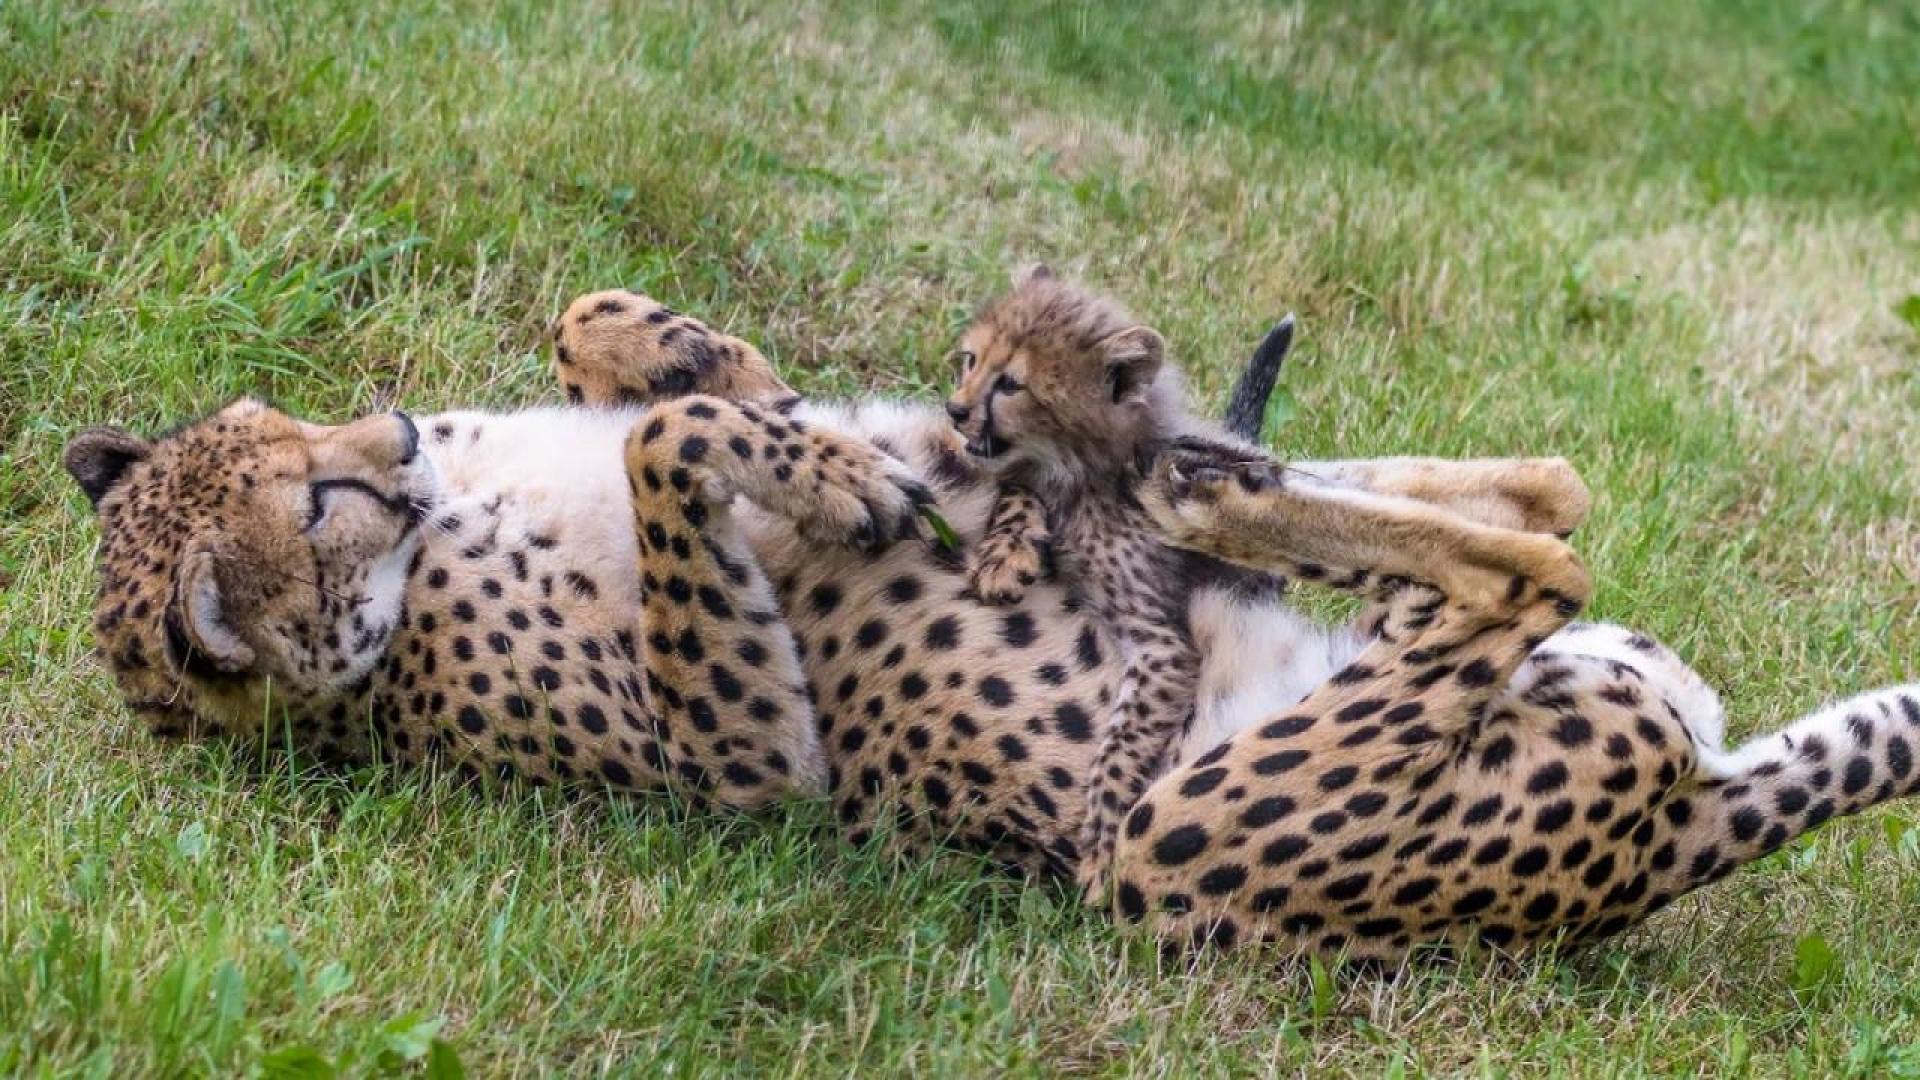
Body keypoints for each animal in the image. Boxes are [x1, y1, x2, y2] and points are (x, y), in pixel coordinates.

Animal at [63, 285, 1920, 964]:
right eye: (310, 508)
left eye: (281, 436)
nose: (382, 436)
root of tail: (1646, 864)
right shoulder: (748, 777)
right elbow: (681, 458)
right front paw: (833, 475)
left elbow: (614, 348)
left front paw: (724, 376)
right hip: (1162, 853)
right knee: (1537, 565)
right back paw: (1209, 488)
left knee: (1532, 513)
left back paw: (1220, 458)